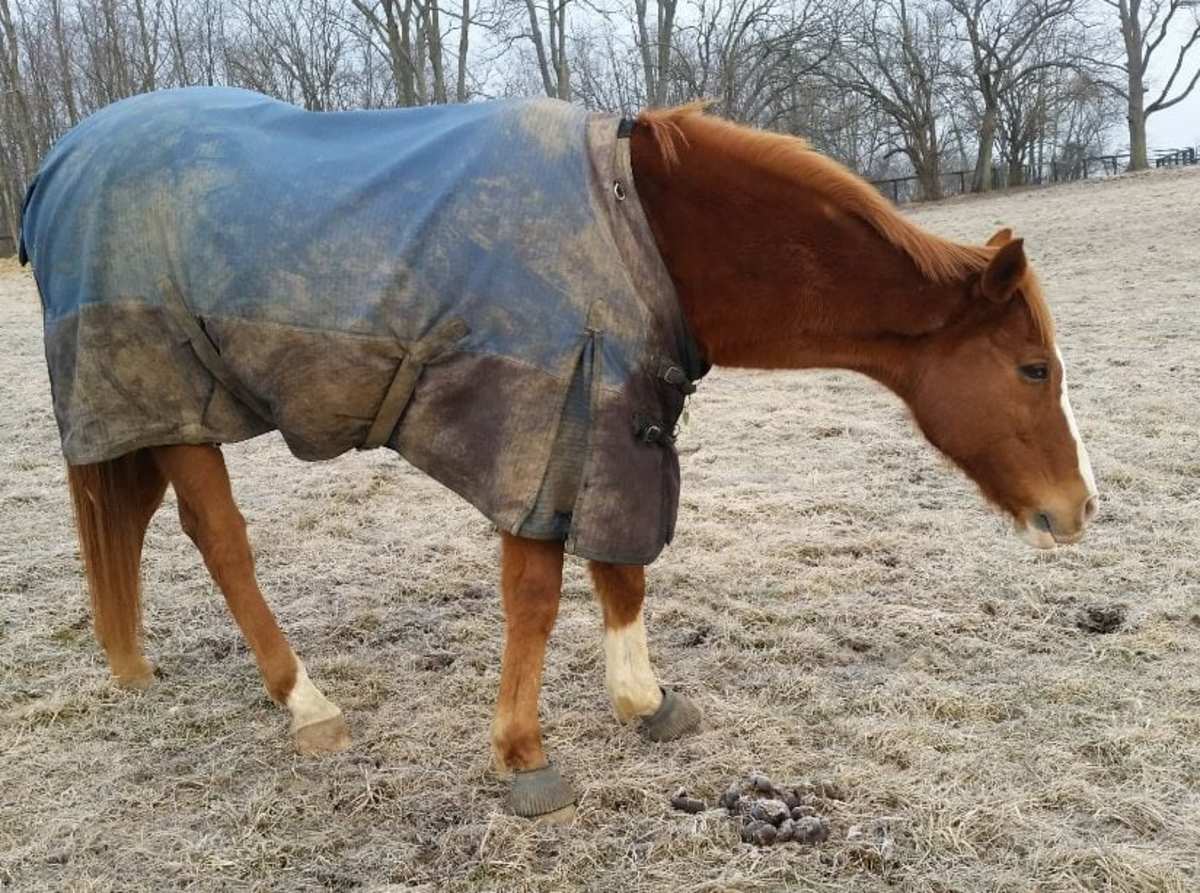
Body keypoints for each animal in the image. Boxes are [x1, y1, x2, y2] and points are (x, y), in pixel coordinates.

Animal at [20, 92, 1097, 823]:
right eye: (1033, 367)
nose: (1079, 508)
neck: (646, 225)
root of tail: (62, 158)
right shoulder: (540, 424)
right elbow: (538, 593)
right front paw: (525, 752)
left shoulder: (617, 419)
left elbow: (623, 570)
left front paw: (644, 698)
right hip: (169, 397)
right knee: (221, 541)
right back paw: (306, 702)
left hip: (154, 411)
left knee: (131, 522)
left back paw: (132, 666)